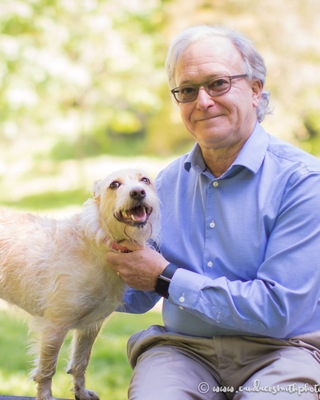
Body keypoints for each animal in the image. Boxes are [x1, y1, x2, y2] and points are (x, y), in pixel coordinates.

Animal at [0, 168, 160, 400]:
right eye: (114, 185)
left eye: (145, 180)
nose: (138, 192)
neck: (98, 243)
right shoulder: (54, 327)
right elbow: (47, 370)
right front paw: (45, 396)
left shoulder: (90, 327)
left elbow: (80, 363)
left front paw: (81, 392)